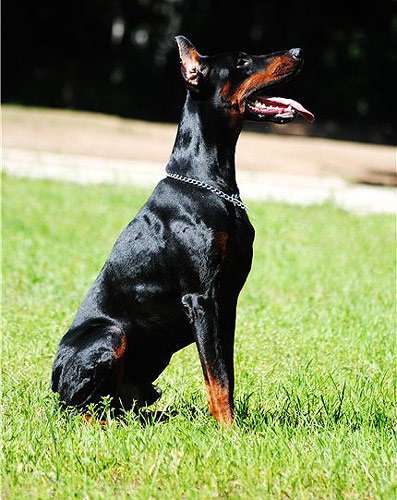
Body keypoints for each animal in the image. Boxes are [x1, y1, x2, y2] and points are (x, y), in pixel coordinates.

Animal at [51, 36, 312, 426]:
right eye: (242, 60)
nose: (299, 52)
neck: (208, 180)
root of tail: (52, 382)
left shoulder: (226, 303)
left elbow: (224, 372)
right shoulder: (202, 299)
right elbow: (216, 377)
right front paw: (230, 431)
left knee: (123, 403)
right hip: (110, 336)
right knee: (78, 408)